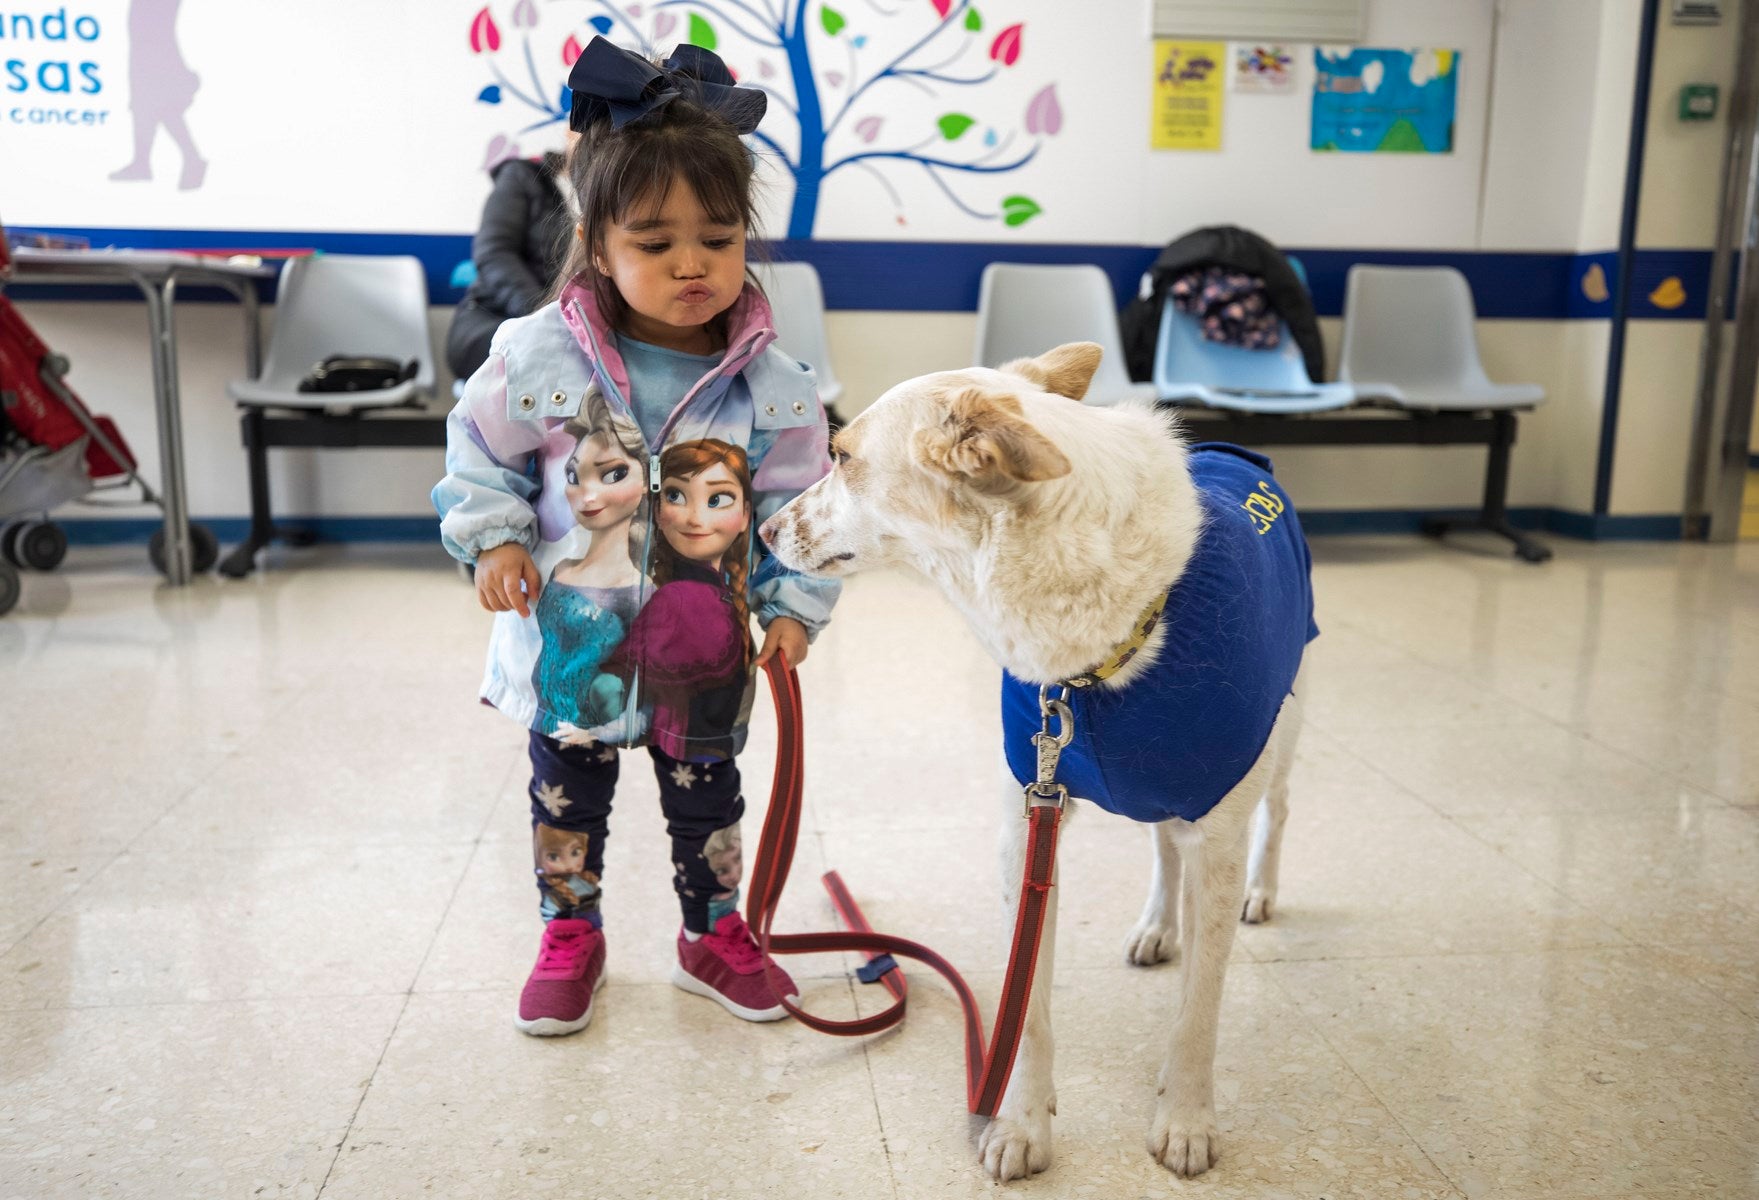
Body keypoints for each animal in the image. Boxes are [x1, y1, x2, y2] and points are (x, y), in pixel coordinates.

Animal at [763, 339, 1315, 1175]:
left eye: (842, 455)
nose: (762, 529)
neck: (1087, 671)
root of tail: (1237, 453)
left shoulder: (1215, 830)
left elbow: (1198, 1010)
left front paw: (1185, 1118)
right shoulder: (1028, 823)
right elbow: (1028, 1011)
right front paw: (1021, 1126)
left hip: (1277, 734)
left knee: (1274, 815)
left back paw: (1261, 891)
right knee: (1162, 845)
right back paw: (1157, 926)